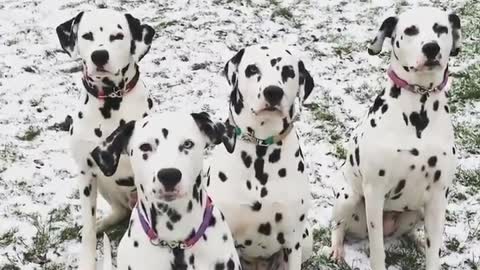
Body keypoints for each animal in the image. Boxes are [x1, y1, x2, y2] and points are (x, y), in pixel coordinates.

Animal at [55, 9, 155, 268]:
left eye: (118, 36)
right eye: (87, 35)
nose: (99, 56)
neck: (111, 99)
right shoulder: (86, 173)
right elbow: (89, 231)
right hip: (105, 184)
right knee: (118, 212)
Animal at [207, 44, 316, 270]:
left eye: (288, 72)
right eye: (252, 69)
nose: (273, 92)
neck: (261, 148)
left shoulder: (292, 242)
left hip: (306, 238)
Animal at [330, 6, 462, 270]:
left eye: (441, 29)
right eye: (410, 30)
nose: (431, 48)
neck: (418, 105)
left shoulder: (438, 195)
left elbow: (433, 253)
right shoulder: (375, 192)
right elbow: (377, 251)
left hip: (421, 210)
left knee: (415, 234)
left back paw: (420, 241)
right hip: (348, 197)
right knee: (338, 226)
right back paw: (337, 249)